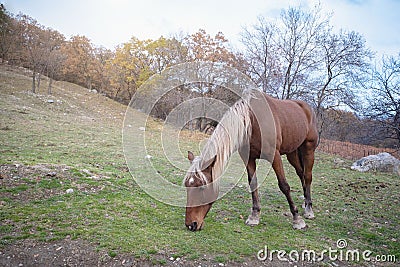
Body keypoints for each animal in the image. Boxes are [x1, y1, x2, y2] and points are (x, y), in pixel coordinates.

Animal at [183, 90, 318, 232]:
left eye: (202, 187)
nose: (191, 224)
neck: (252, 121)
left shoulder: (274, 156)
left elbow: (284, 185)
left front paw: (297, 219)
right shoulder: (248, 158)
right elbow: (253, 183)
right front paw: (254, 216)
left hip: (308, 149)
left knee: (307, 176)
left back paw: (309, 209)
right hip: (291, 153)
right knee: (301, 173)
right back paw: (305, 203)